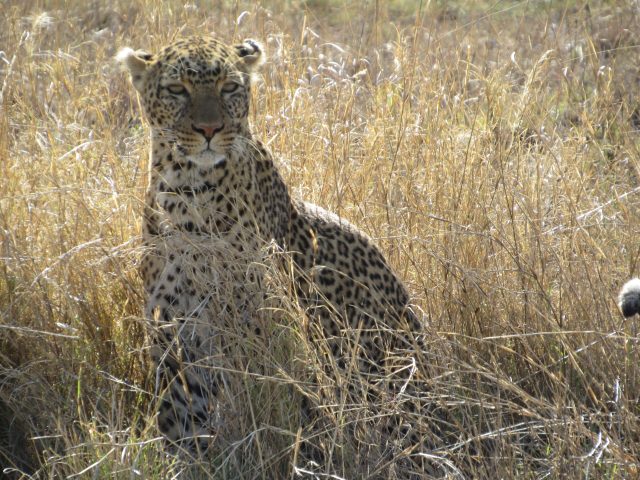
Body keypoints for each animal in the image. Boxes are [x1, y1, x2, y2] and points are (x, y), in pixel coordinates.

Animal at [120, 35, 430, 460]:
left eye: (229, 88)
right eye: (177, 90)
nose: (209, 129)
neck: (188, 191)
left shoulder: (252, 321)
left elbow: (260, 400)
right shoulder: (171, 323)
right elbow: (177, 412)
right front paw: (185, 459)